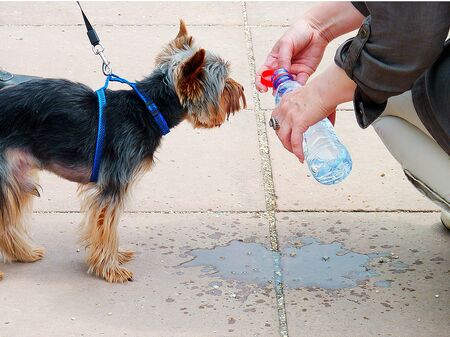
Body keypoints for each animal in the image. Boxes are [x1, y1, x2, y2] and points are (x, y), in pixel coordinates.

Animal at [0, 21, 246, 282]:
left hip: (17, 173)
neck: (148, 109)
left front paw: (115, 258)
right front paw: (110, 268)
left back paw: (24, 252)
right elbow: (107, 227)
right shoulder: (113, 186)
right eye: (224, 83)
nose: (242, 90)